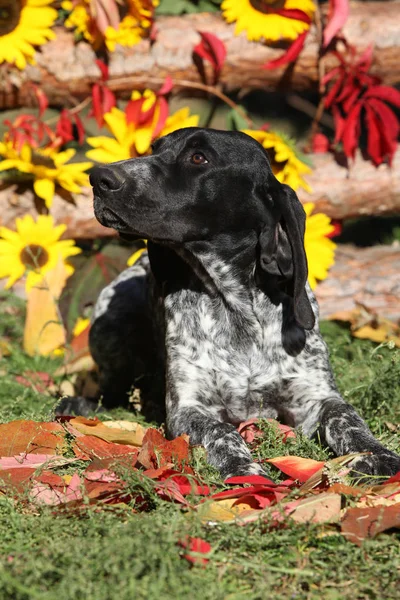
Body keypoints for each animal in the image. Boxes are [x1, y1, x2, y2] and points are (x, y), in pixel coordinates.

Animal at [83, 127, 396, 482]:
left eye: (198, 157)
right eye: (154, 150)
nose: (99, 178)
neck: (236, 306)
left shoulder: (316, 398)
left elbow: (348, 421)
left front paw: (377, 454)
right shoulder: (189, 408)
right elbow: (223, 431)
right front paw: (244, 468)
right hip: (109, 317)